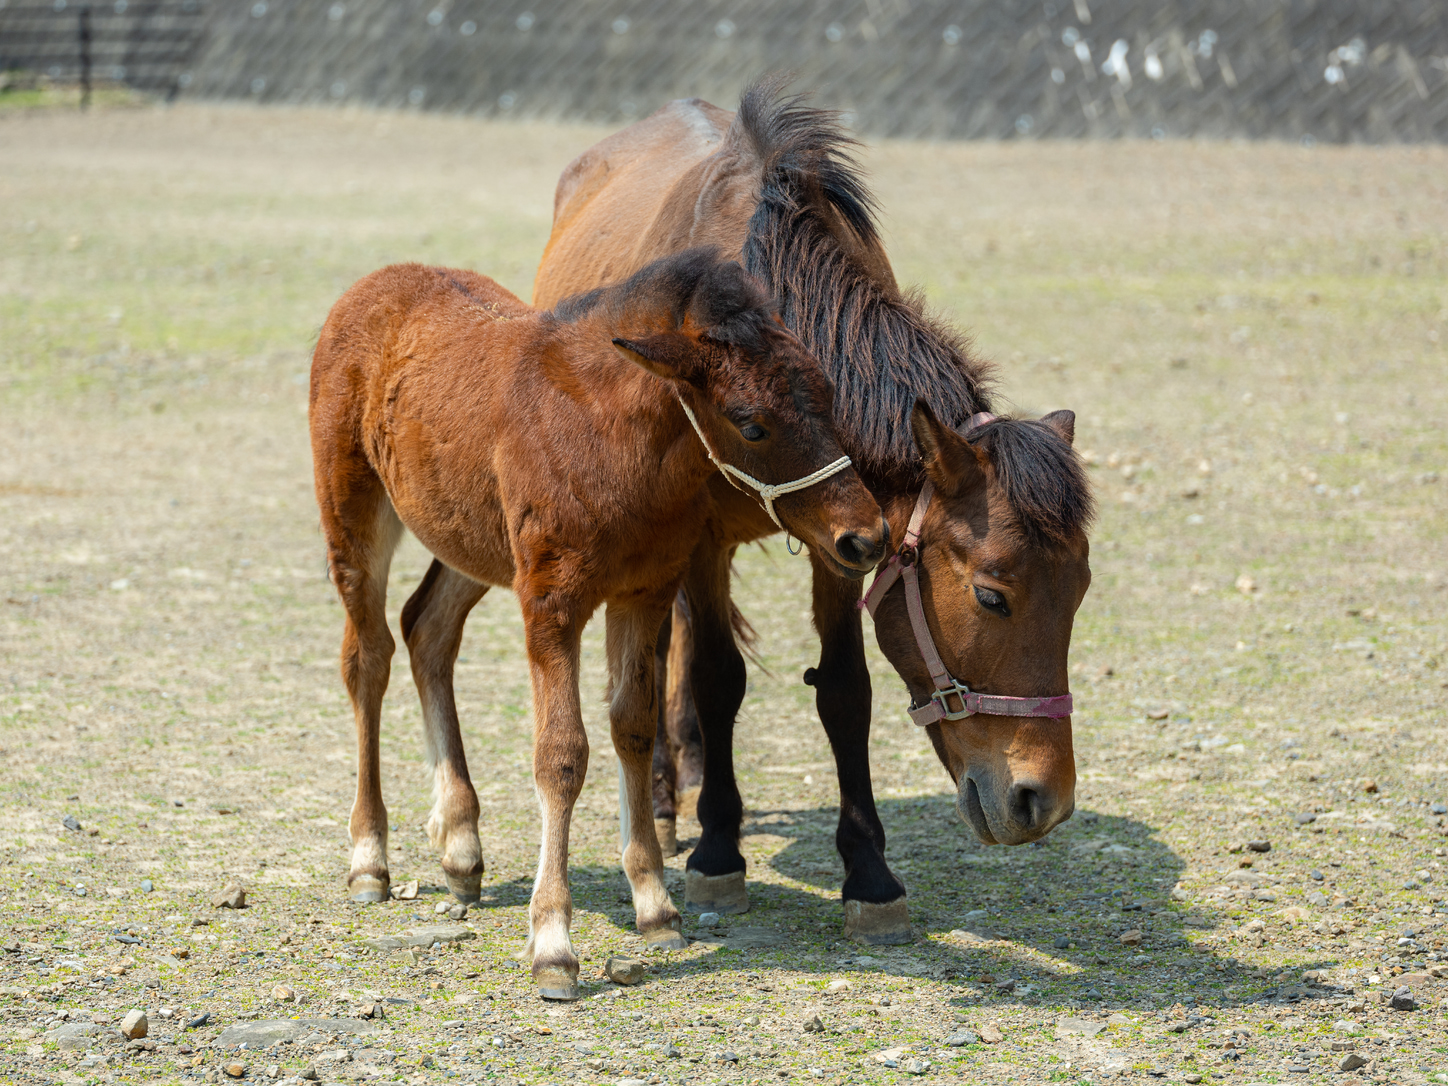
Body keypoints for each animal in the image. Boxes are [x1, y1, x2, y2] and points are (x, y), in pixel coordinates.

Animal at [311, 250, 886, 1002]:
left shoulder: (644, 591)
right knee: (367, 658)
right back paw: (370, 858)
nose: (866, 537)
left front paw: (654, 904)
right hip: (354, 512)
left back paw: (461, 846)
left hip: (473, 537)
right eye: (751, 422)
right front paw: (554, 945)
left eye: (826, 395)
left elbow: (634, 727)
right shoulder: (551, 601)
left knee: (427, 629)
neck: (607, 437)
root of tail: (373, 282)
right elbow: (562, 754)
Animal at [527, 78, 1088, 944]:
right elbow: (718, 677)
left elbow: (845, 691)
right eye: (993, 596)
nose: (1043, 801)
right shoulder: (702, 540)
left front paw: (869, 871)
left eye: (1081, 593)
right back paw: (665, 794)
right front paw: (718, 852)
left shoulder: (852, 538)